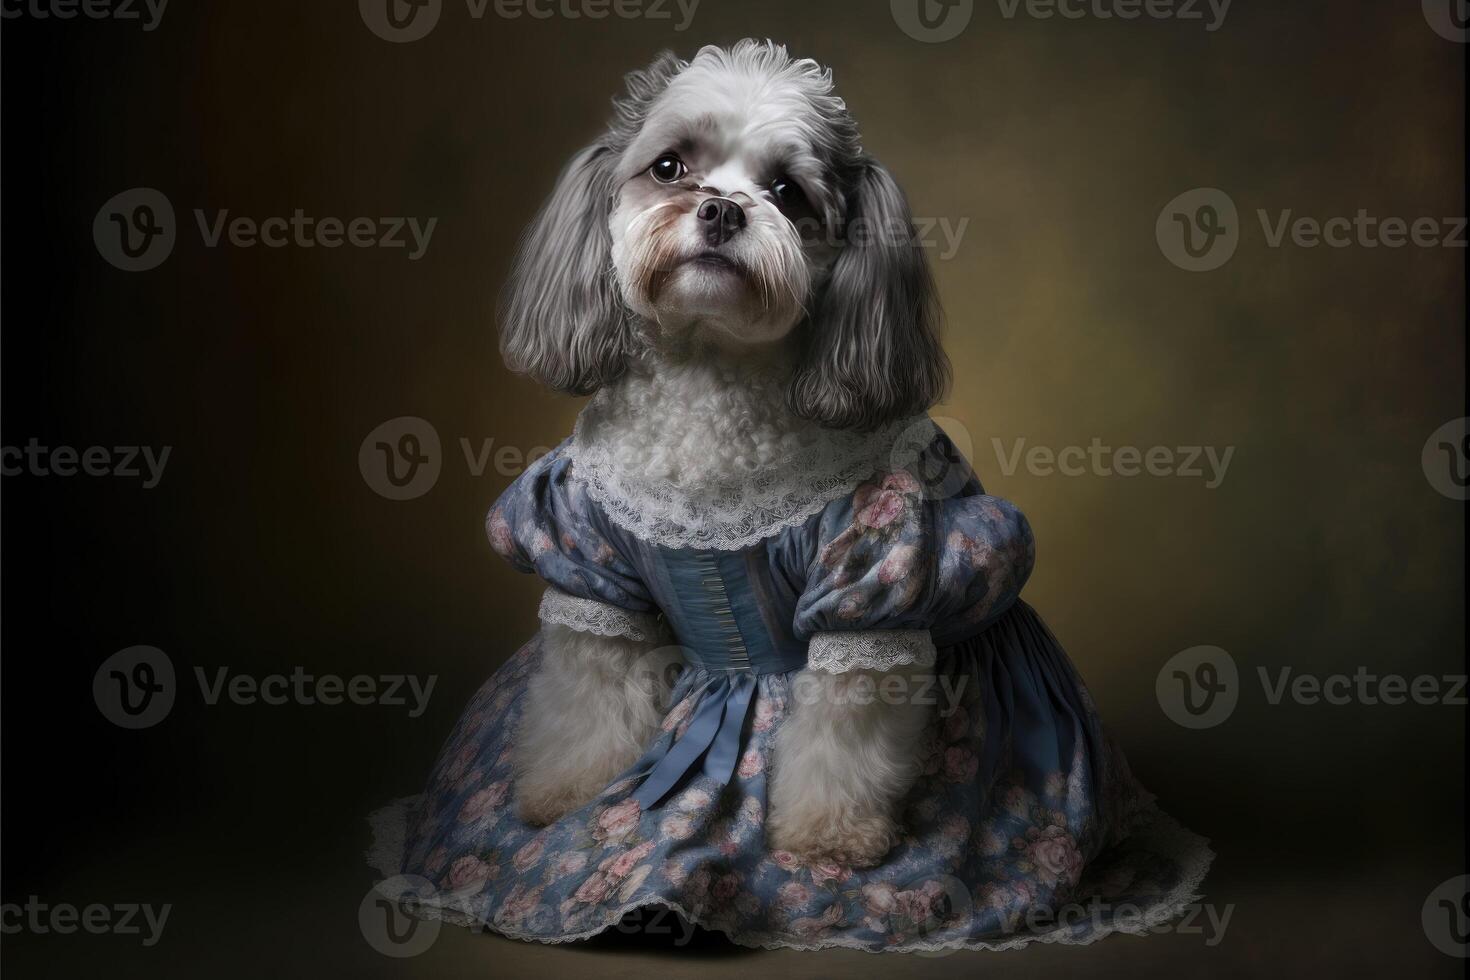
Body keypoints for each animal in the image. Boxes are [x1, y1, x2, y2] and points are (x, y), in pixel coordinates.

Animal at [499, 40, 946, 863]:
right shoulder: (591, 572)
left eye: (789, 192)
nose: (722, 208)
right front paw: (565, 793)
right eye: (670, 166)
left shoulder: (871, 585)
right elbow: (588, 699)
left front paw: (828, 837)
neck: (709, 380)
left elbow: (844, 734)